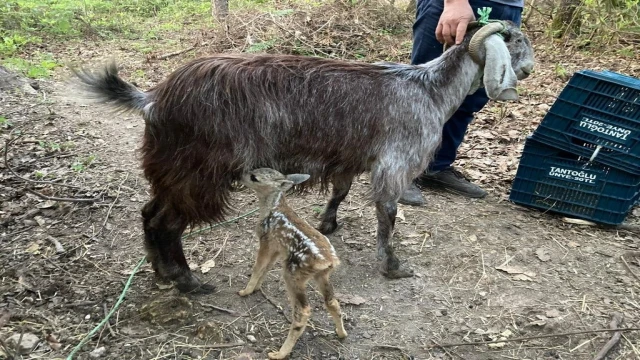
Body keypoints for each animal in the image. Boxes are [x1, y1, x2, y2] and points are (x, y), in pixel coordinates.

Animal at [70, 19, 536, 294]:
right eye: (517, 43)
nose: (530, 70)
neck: (429, 88)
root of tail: (154, 97)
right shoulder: (394, 163)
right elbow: (387, 215)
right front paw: (392, 265)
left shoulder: (349, 157)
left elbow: (341, 190)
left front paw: (328, 222)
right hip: (198, 171)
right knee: (167, 223)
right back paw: (186, 281)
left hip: (171, 170)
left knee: (150, 214)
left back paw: (160, 272)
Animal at [236, 168, 344, 360]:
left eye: (254, 177)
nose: (238, 175)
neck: (272, 207)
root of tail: (328, 261)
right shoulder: (278, 248)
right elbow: (266, 267)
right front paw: (256, 288)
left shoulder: (265, 239)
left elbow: (258, 266)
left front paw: (245, 291)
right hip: (321, 276)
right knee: (332, 301)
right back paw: (342, 334)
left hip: (293, 273)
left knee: (304, 310)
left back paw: (279, 353)